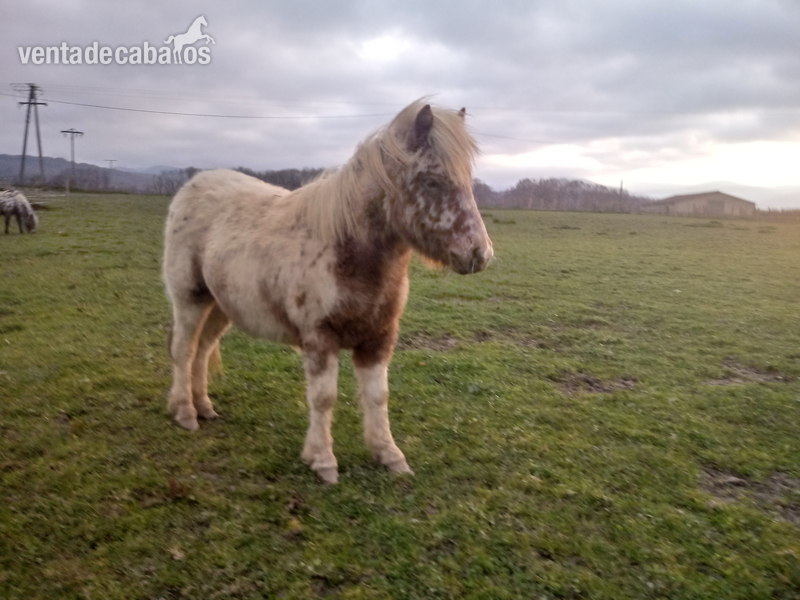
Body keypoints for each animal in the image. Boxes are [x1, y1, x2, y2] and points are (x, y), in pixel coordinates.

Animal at [162, 100, 493, 483]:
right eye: (432, 181)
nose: (480, 254)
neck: (347, 250)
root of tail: (193, 185)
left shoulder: (378, 339)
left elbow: (378, 396)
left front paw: (390, 455)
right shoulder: (320, 339)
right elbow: (324, 398)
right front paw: (322, 461)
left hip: (220, 306)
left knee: (202, 350)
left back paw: (204, 407)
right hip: (190, 299)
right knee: (184, 350)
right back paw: (185, 413)